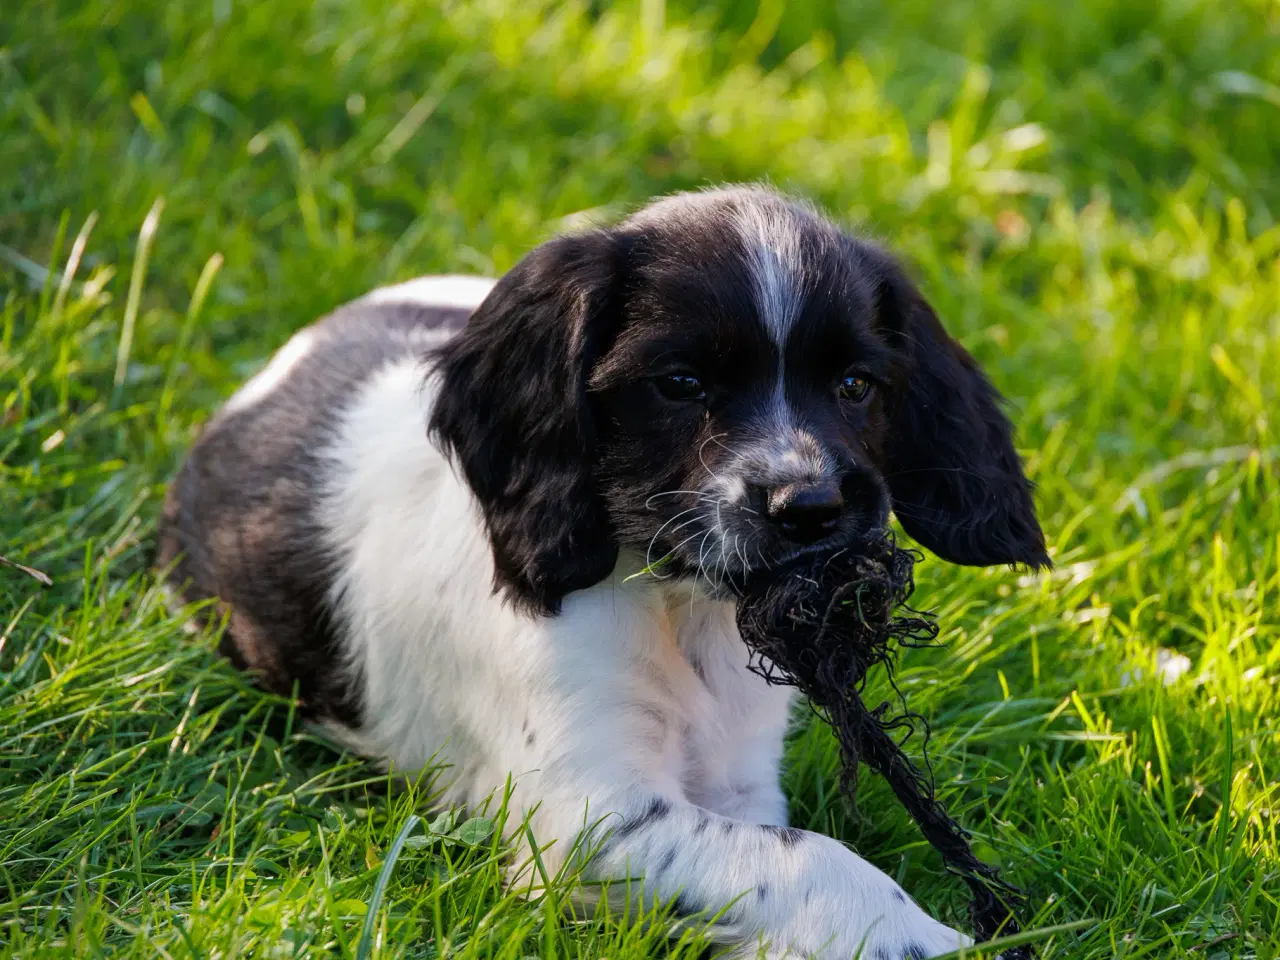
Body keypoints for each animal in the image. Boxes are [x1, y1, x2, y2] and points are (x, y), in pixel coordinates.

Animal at [157, 184, 1049, 957]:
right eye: (679, 385)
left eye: (857, 386)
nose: (810, 506)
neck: (683, 610)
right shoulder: (585, 820)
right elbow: (807, 855)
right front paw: (930, 940)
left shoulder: (739, 779)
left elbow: (779, 847)